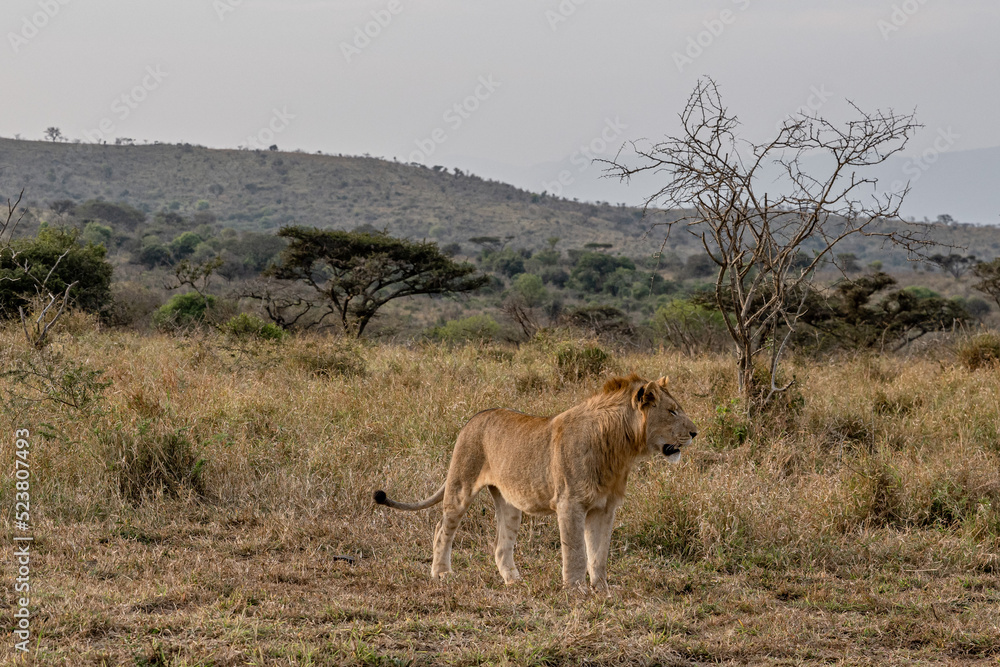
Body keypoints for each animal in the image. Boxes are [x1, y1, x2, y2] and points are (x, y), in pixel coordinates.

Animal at [373, 373, 698, 590]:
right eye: (672, 411)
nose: (695, 432)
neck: (621, 447)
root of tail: (474, 417)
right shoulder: (570, 503)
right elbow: (576, 551)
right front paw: (576, 592)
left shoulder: (605, 508)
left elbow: (599, 554)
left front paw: (602, 592)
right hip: (461, 485)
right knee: (442, 528)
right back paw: (441, 573)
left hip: (509, 502)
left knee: (501, 545)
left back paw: (514, 581)